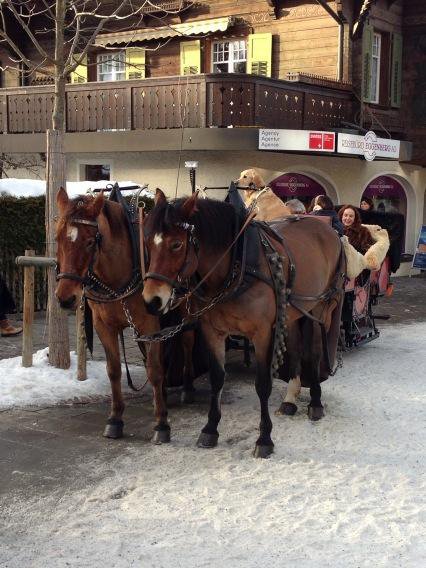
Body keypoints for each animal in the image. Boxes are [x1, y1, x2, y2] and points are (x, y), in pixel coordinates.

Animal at [54, 189, 176, 442]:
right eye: (57, 239)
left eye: (90, 241)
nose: (65, 298)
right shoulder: (104, 326)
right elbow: (114, 370)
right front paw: (115, 418)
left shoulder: (151, 326)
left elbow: (155, 370)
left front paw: (161, 423)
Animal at [143, 190, 346, 458]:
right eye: (147, 243)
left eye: (176, 244)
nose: (152, 300)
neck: (236, 267)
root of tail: (327, 230)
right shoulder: (213, 332)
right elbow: (217, 378)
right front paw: (210, 429)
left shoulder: (262, 334)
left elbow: (262, 384)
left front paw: (264, 439)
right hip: (292, 312)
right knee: (295, 347)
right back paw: (290, 399)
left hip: (319, 309)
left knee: (313, 352)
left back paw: (315, 403)